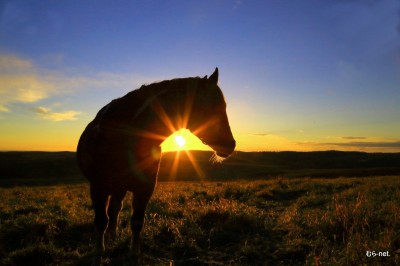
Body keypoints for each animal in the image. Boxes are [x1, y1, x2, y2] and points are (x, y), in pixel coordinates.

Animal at [76, 68, 236, 264]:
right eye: (212, 108)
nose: (230, 145)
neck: (125, 135)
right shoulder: (98, 187)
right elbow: (100, 220)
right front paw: (99, 253)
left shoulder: (145, 188)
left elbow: (137, 221)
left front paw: (134, 253)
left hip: (120, 188)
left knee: (115, 208)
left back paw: (113, 235)